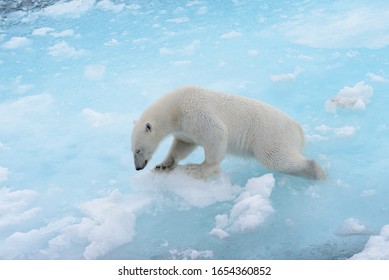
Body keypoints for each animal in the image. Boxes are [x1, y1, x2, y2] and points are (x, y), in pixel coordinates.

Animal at [130, 85, 324, 179]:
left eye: (138, 150)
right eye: (132, 150)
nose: (138, 168)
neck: (175, 107)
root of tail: (298, 129)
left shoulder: (195, 112)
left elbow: (216, 133)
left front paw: (197, 169)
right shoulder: (184, 129)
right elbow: (183, 145)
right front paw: (163, 166)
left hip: (271, 136)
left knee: (276, 158)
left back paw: (316, 172)